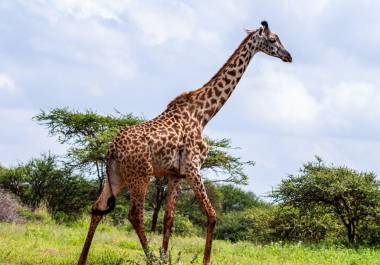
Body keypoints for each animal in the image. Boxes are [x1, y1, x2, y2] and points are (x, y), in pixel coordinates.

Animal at [77, 21, 290, 264]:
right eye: (273, 40)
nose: (288, 56)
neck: (204, 114)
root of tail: (112, 148)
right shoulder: (193, 166)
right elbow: (212, 215)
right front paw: (203, 260)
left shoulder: (175, 174)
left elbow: (169, 218)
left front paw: (166, 257)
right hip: (141, 175)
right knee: (135, 215)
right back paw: (151, 259)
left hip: (117, 175)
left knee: (98, 207)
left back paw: (82, 260)